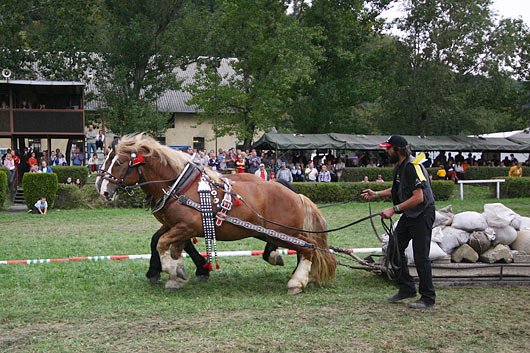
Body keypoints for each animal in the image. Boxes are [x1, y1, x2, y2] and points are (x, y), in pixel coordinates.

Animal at [97, 133, 334, 292]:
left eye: (119, 162)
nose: (103, 189)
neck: (179, 186)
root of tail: (297, 195)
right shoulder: (173, 225)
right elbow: (162, 242)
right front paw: (175, 273)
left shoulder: (187, 226)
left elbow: (163, 244)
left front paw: (173, 271)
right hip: (275, 232)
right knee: (306, 248)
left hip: (284, 232)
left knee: (308, 248)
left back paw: (297, 281)